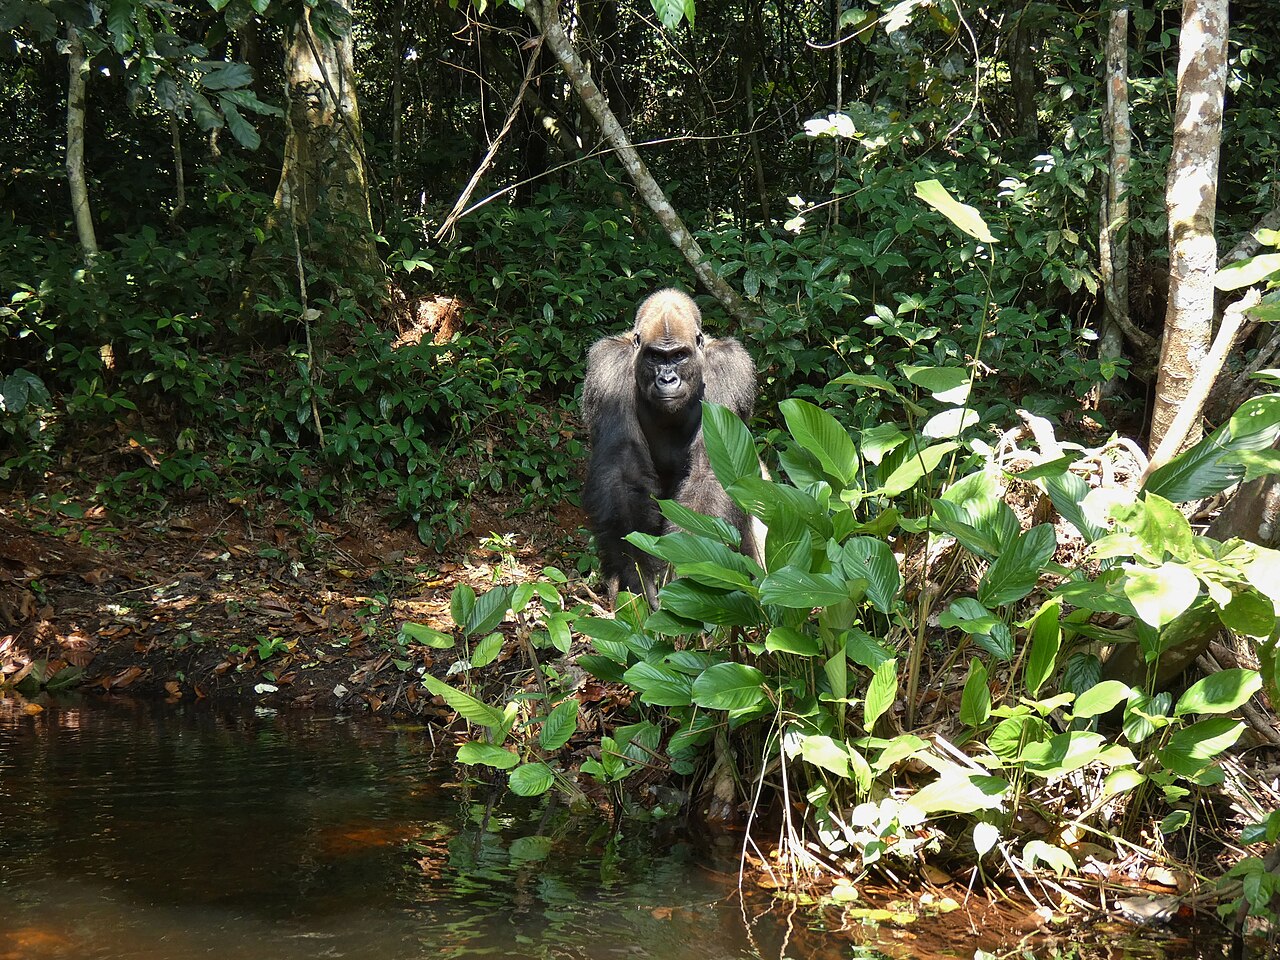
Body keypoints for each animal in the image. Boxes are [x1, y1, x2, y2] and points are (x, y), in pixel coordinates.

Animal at [581, 288, 761, 607]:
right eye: (655, 356)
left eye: (679, 356)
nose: (667, 379)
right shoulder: (608, 368)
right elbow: (622, 470)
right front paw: (637, 572)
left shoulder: (729, 367)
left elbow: (710, 470)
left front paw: (683, 569)